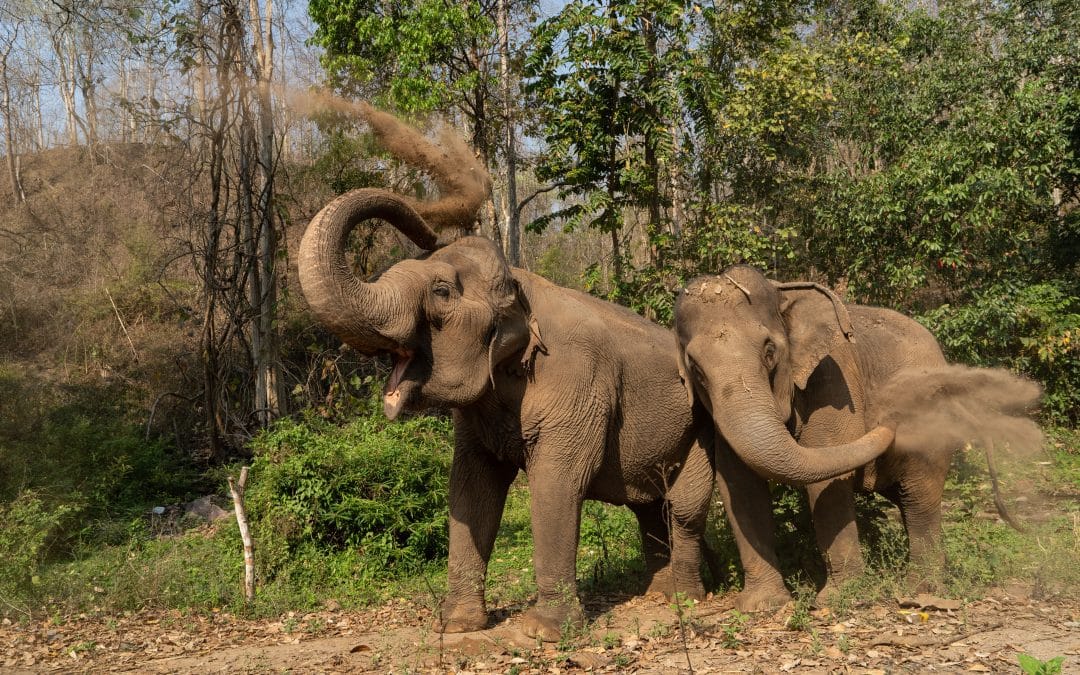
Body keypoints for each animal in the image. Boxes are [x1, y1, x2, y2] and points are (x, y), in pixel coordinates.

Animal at [673, 265, 1036, 609]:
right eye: (696, 368)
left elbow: (828, 477)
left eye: (769, 351)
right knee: (906, 498)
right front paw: (763, 605)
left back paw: (922, 588)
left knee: (920, 496)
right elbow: (739, 486)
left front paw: (839, 598)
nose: (889, 411)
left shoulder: (834, 377)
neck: (783, 294)